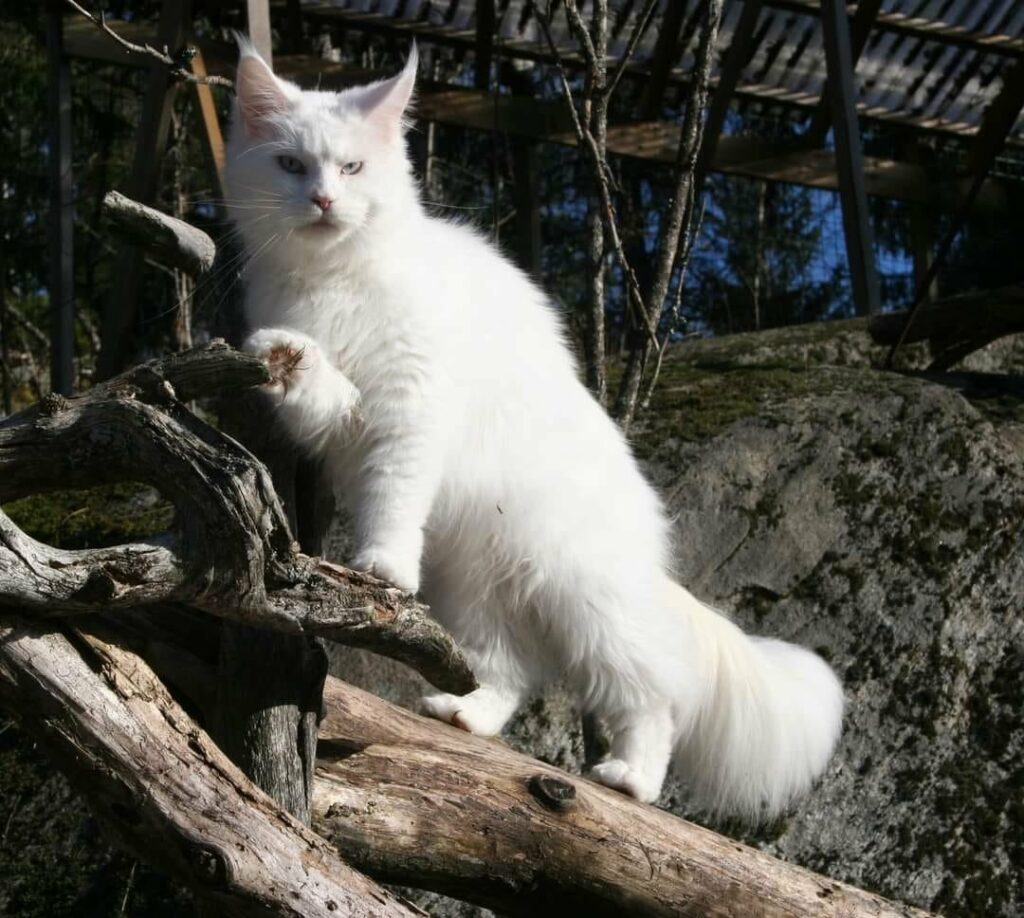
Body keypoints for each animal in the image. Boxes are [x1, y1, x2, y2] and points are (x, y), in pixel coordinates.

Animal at [226, 41, 844, 816]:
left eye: (352, 169)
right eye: (290, 165)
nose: (322, 200)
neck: (331, 278)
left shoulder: (410, 408)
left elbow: (393, 497)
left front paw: (381, 565)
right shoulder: (344, 415)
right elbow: (314, 380)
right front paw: (281, 355)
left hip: (585, 600)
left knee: (652, 701)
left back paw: (630, 778)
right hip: (474, 591)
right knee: (508, 674)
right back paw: (467, 714)